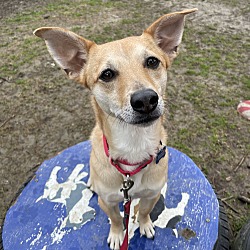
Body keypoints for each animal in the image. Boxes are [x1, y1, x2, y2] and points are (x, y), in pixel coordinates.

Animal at [33, 8, 197, 249]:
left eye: (152, 62)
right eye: (107, 74)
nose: (145, 100)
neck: (134, 146)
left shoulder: (152, 194)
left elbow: (144, 211)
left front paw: (145, 224)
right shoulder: (107, 201)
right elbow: (117, 218)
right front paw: (118, 234)